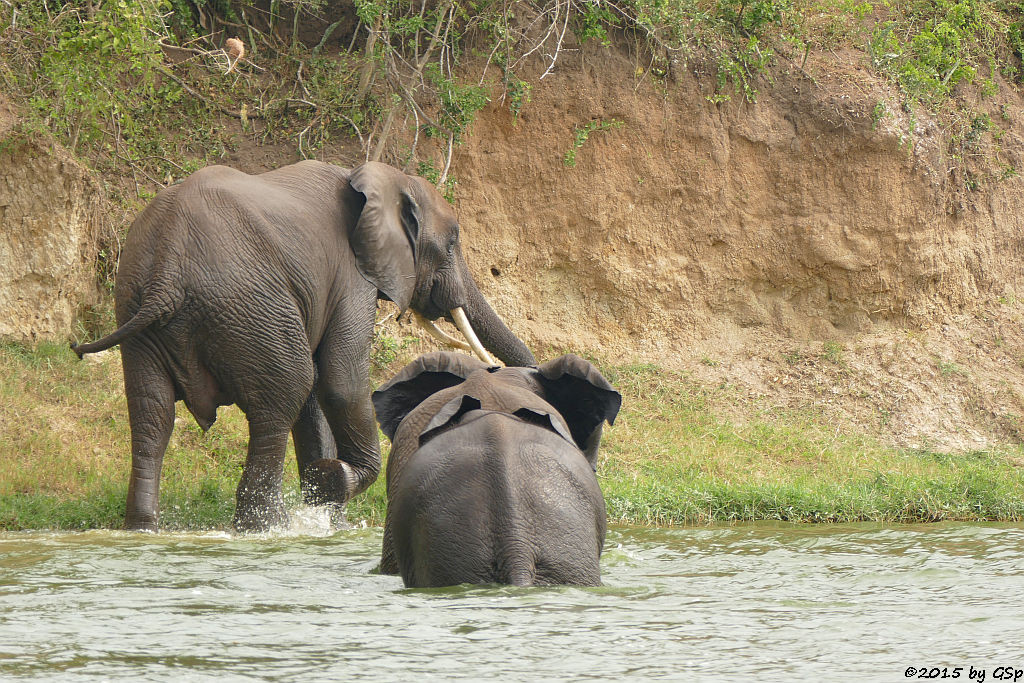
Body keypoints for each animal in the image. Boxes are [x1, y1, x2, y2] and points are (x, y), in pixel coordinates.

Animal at [71, 161, 536, 532]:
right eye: (453, 242)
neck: (382, 179)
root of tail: (166, 271)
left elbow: (318, 392)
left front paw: (328, 514)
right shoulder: (353, 278)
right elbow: (340, 382)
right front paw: (331, 480)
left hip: (137, 307)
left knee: (152, 414)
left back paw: (142, 528)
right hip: (247, 305)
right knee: (283, 395)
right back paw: (265, 526)